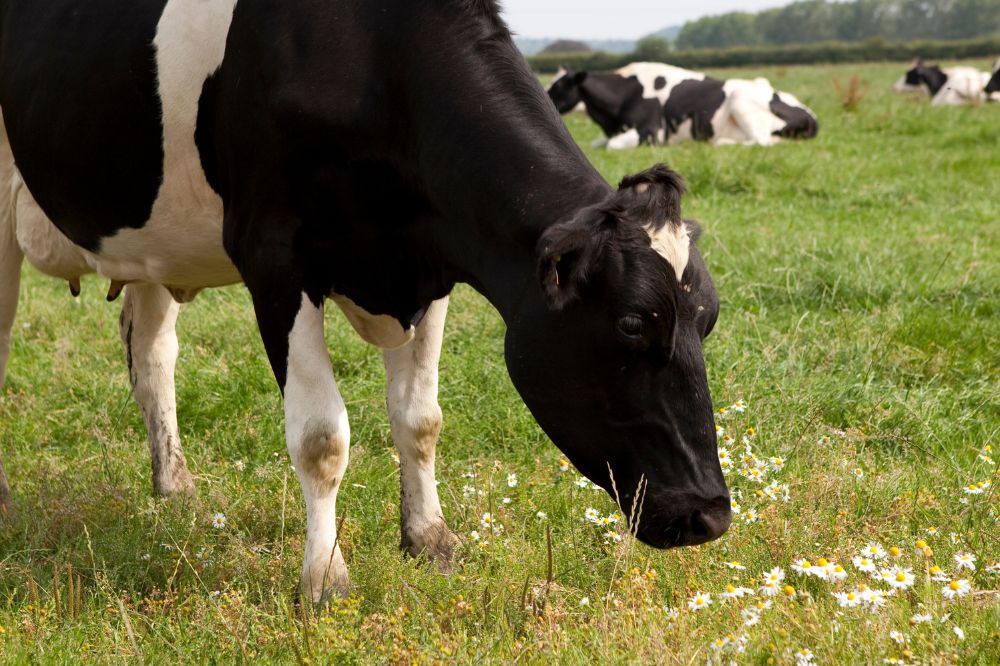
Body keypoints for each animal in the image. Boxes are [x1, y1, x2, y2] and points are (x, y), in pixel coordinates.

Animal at [0, 0, 730, 601]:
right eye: (631, 323)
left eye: (708, 320)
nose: (711, 515)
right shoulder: (275, 256)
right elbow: (321, 437)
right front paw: (324, 578)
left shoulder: (431, 261)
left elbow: (420, 418)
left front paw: (430, 540)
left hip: (154, 241)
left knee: (152, 356)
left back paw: (175, 487)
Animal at [547, 62, 817, 149]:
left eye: (559, 86)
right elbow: (597, 144)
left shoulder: (651, 132)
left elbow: (612, 146)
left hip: (740, 99)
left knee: (761, 141)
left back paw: (720, 143)